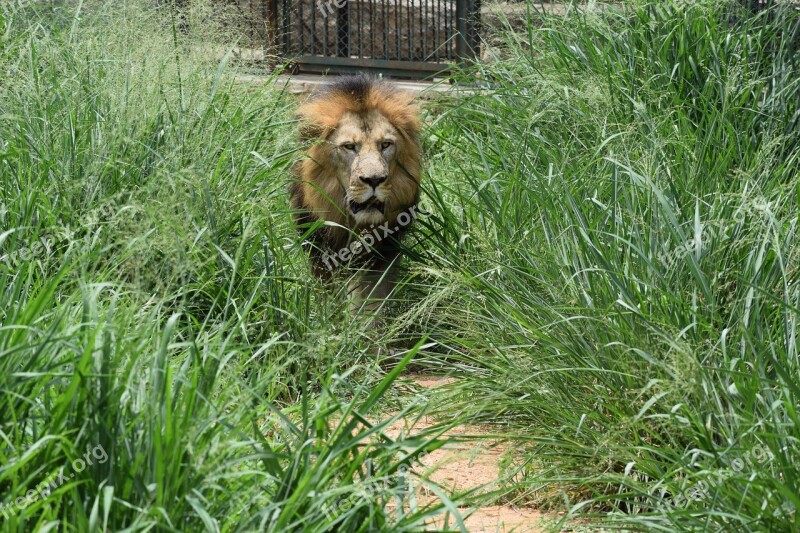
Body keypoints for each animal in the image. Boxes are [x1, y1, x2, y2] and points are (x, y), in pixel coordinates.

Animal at [290, 76, 424, 316]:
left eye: (386, 145)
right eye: (349, 146)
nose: (374, 180)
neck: (352, 224)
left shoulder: (382, 251)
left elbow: (368, 301)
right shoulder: (320, 252)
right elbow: (329, 296)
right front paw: (331, 319)